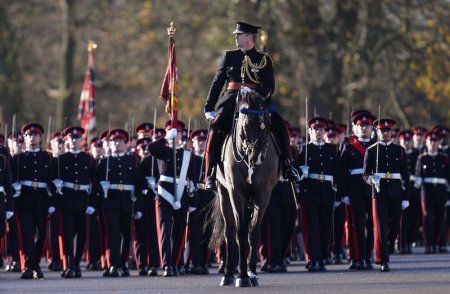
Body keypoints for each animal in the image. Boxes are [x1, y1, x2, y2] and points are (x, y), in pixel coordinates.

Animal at [209, 92, 280, 288]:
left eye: (269, 123)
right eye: (248, 124)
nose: (257, 157)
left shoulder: (263, 195)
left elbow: (253, 233)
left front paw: (251, 274)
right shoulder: (236, 193)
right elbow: (240, 233)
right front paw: (241, 276)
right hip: (224, 194)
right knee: (230, 231)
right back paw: (228, 275)